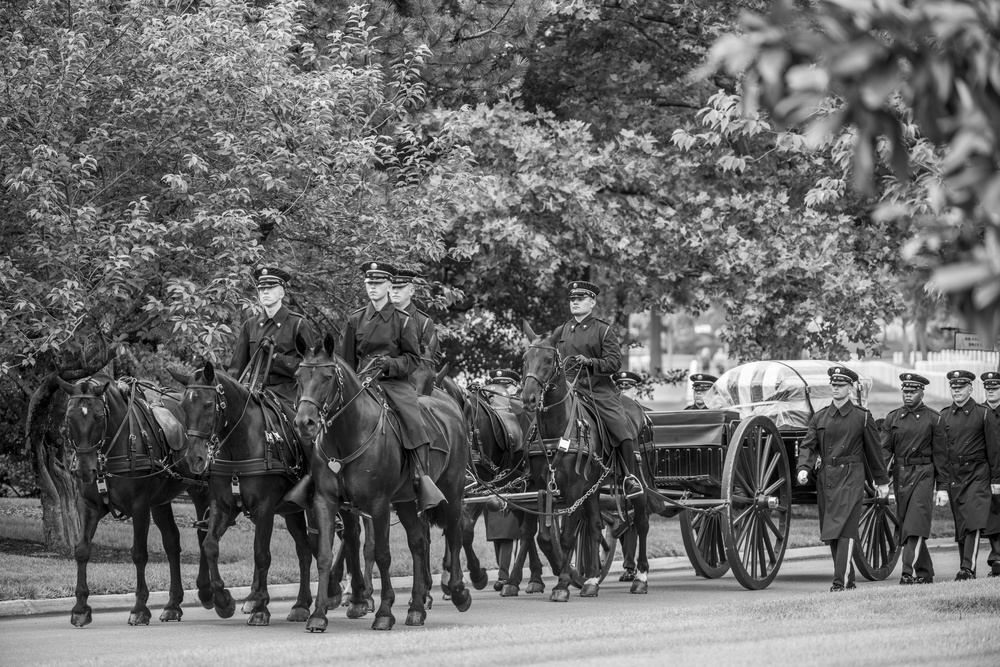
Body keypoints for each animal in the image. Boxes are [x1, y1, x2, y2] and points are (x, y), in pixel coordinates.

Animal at [57, 378, 212, 628]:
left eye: (99, 417)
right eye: (69, 416)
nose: (83, 470)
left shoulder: (139, 507)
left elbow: (139, 554)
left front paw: (140, 609)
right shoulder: (89, 505)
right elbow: (81, 549)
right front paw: (80, 609)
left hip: (201, 489)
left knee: (204, 535)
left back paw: (207, 592)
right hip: (160, 501)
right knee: (172, 542)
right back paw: (173, 605)